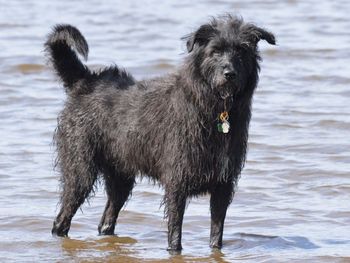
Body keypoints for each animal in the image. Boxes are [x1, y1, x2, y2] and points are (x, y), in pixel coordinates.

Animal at [45, 14, 274, 254]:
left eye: (241, 51)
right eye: (215, 51)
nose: (229, 74)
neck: (214, 109)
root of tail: (85, 81)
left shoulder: (223, 185)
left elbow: (216, 233)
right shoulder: (177, 183)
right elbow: (175, 232)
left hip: (119, 176)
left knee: (106, 220)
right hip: (80, 170)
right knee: (62, 219)